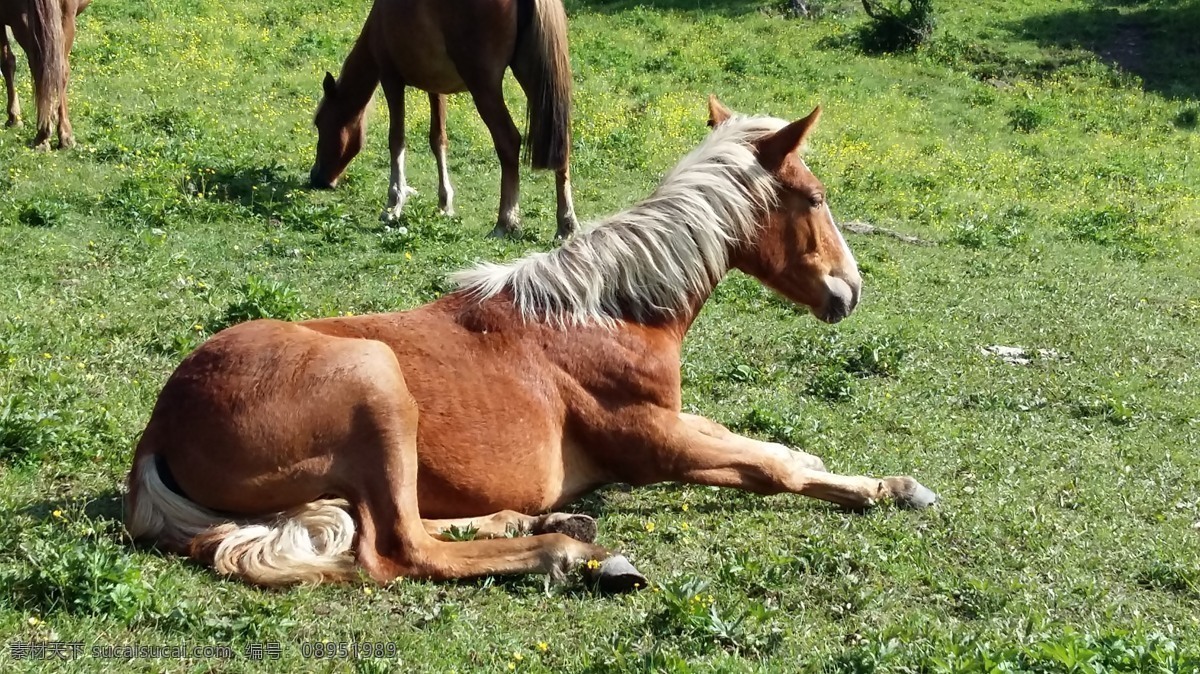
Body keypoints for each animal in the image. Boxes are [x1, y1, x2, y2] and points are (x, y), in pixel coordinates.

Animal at [126, 97, 940, 590]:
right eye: (816, 198)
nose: (850, 290)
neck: (606, 313)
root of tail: (159, 429)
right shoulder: (654, 443)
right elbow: (772, 467)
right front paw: (886, 488)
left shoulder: (674, 419)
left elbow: (765, 447)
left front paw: (857, 474)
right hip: (377, 382)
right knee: (398, 548)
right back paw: (579, 554)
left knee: (395, 523)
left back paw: (539, 519)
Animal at [312, 0, 578, 238]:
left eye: (320, 125)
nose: (317, 178)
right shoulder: (435, 88)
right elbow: (438, 140)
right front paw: (444, 203)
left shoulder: (391, 79)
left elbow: (396, 140)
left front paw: (394, 203)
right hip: (536, 82)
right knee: (561, 143)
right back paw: (566, 224)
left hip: (485, 87)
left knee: (509, 141)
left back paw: (505, 221)